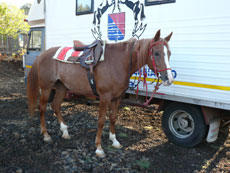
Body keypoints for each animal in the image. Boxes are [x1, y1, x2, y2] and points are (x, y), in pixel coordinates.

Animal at [27, 29, 172, 157]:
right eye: (157, 53)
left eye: (169, 53)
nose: (169, 79)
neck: (117, 63)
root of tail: (41, 55)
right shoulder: (104, 97)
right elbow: (101, 120)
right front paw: (99, 148)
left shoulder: (117, 98)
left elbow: (113, 118)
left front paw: (115, 141)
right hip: (46, 87)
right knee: (42, 108)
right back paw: (46, 135)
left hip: (61, 87)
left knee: (56, 105)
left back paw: (65, 132)